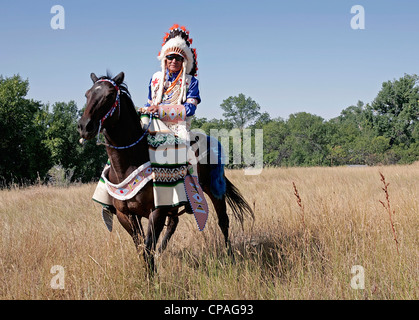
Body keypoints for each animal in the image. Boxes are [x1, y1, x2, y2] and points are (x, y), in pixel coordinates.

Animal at [78, 72, 254, 272]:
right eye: (87, 94)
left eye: (109, 95)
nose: (84, 126)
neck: (131, 161)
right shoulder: (126, 215)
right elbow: (141, 247)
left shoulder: (157, 211)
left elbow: (148, 247)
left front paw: (151, 277)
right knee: (173, 225)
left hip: (214, 190)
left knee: (223, 221)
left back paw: (230, 255)